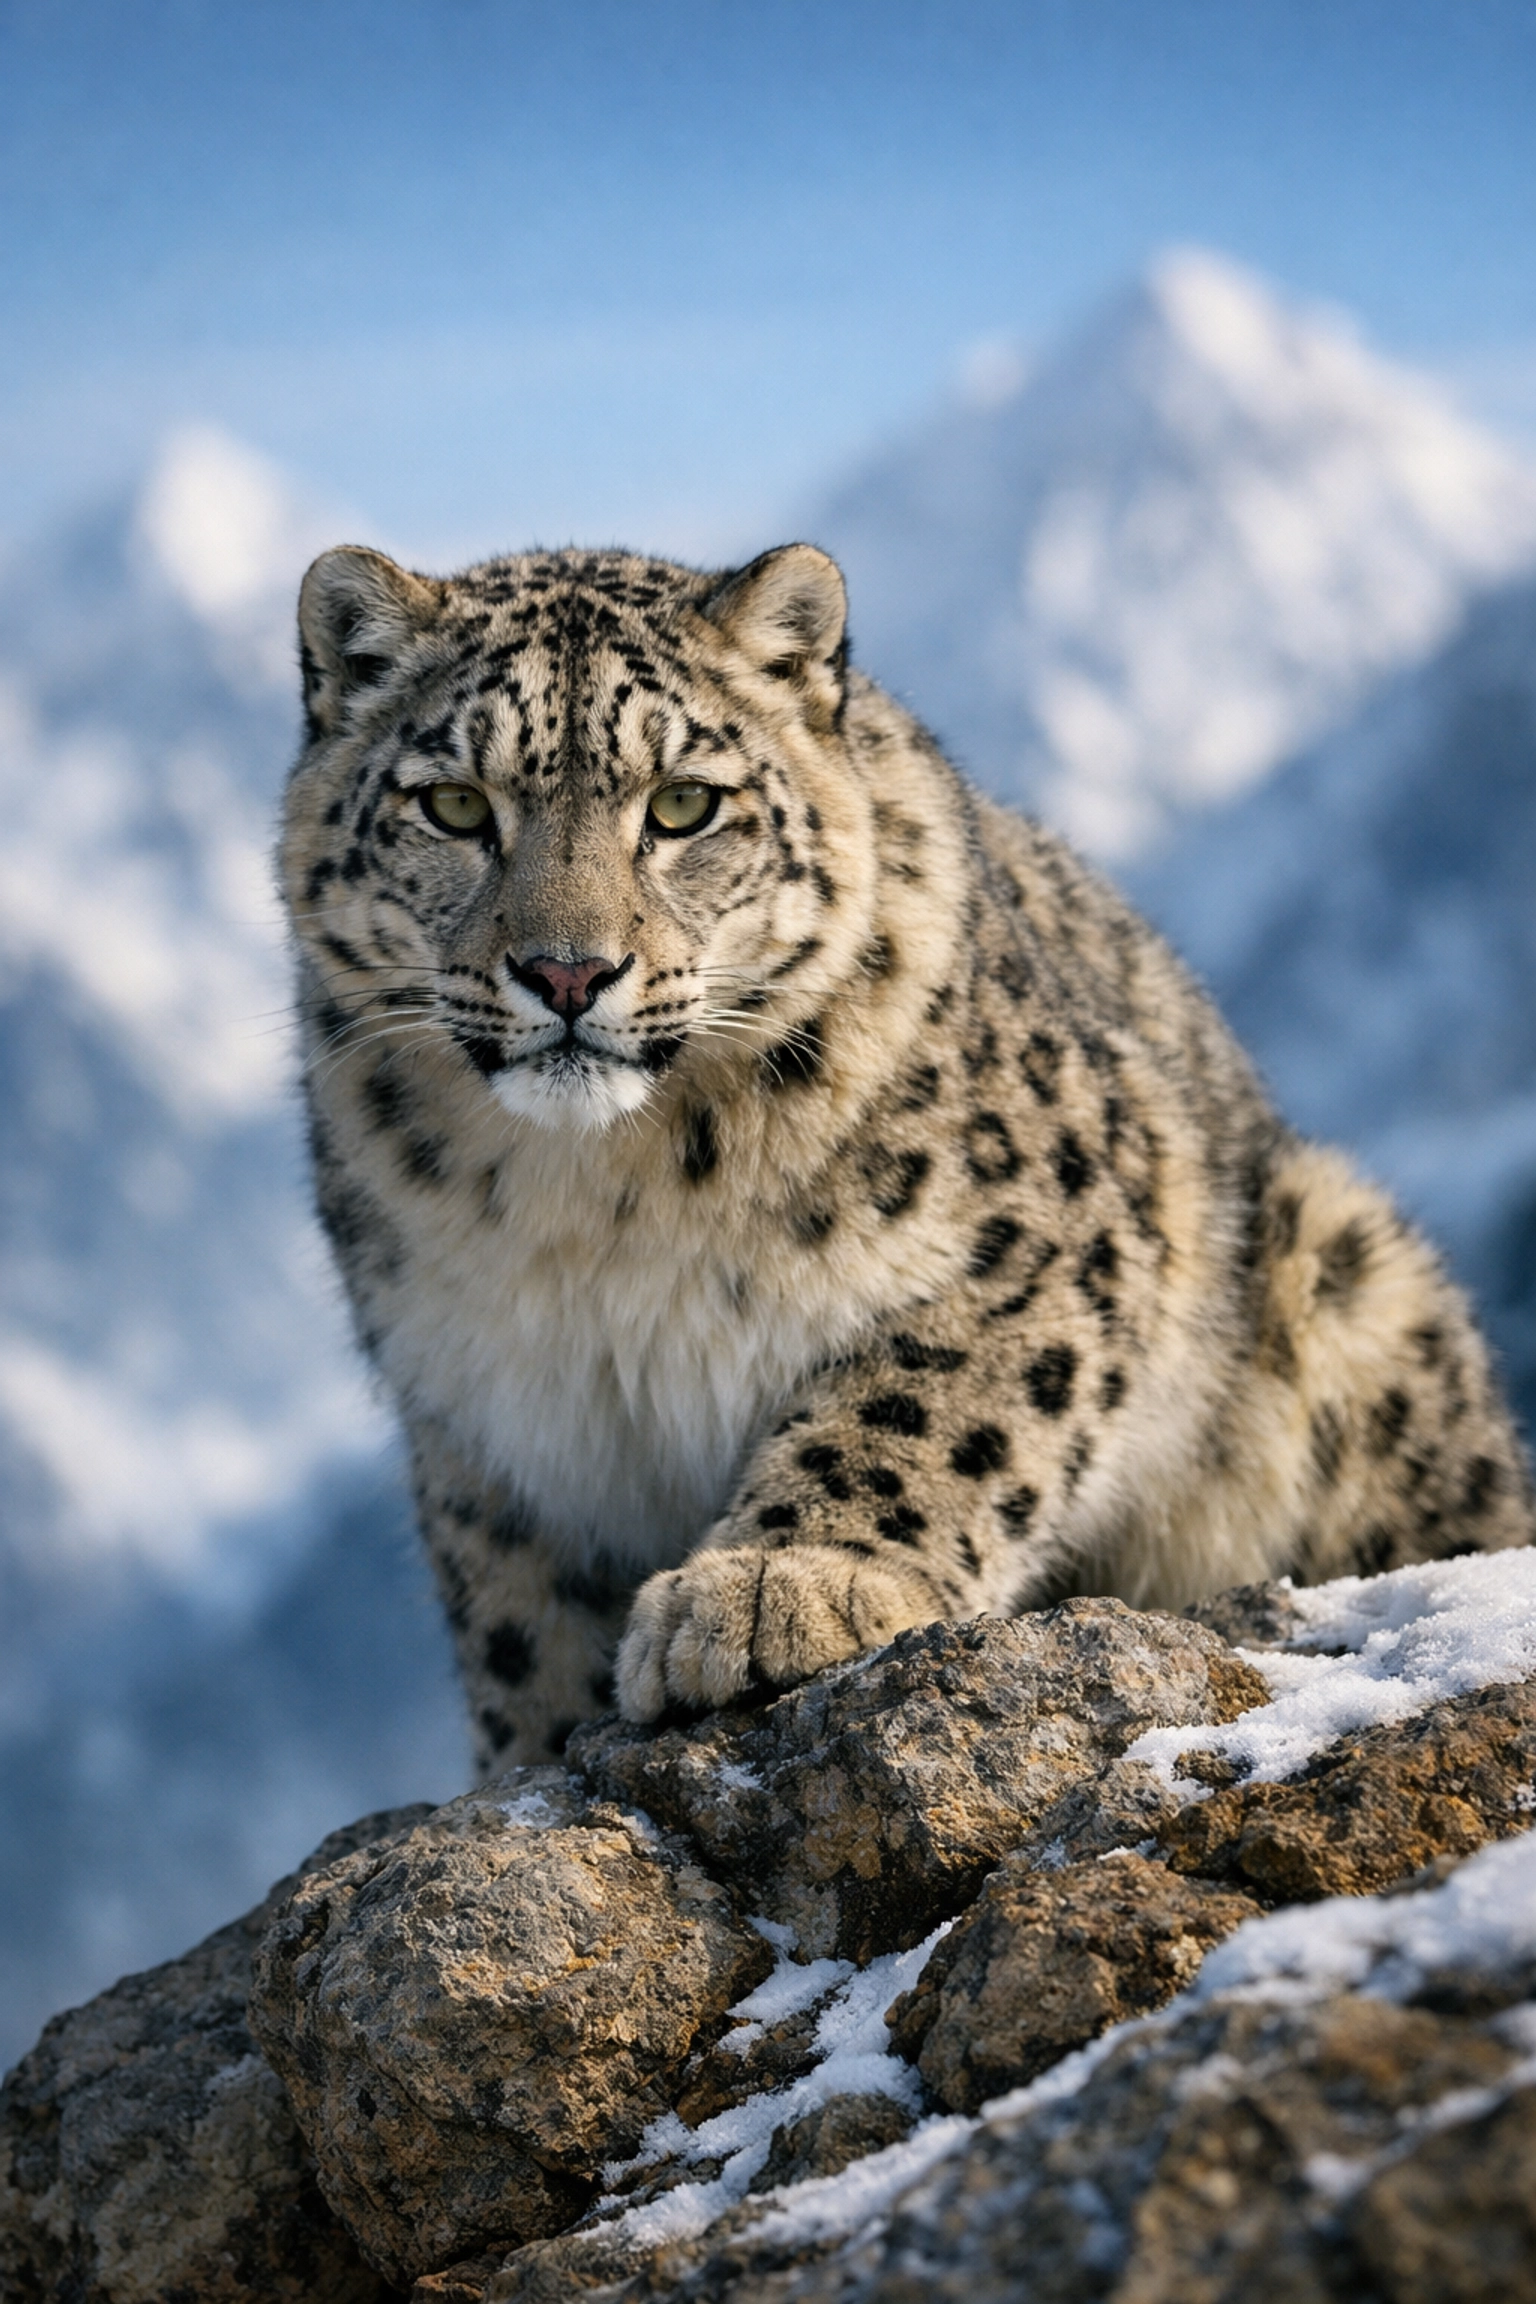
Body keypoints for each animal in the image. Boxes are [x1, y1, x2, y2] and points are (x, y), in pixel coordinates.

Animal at [280, 538, 1534, 1776]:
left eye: (684, 804)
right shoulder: (482, 1419)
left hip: (1346, 1270)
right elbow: (517, 1624)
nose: (568, 972)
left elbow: (918, 1404)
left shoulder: (1051, 1232)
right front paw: (538, 1747)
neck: (598, 1210)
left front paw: (777, 1587)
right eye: (453, 804)